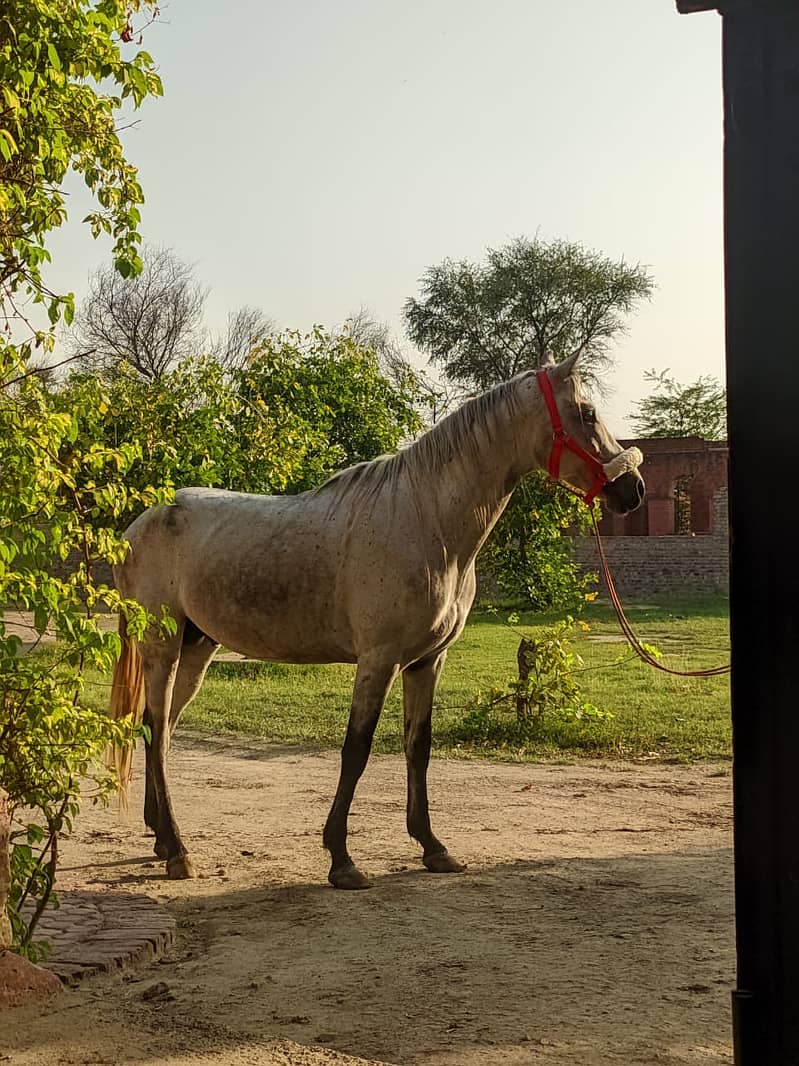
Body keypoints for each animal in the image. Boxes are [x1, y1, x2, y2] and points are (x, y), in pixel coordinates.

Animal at [110, 351, 645, 888]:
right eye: (587, 413)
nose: (633, 489)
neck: (426, 519)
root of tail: (135, 528)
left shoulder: (427, 661)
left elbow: (418, 747)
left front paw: (433, 847)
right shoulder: (378, 660)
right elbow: (357, 749)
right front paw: (341, 859)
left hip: (197, 647)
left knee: (160, 730)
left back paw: (161, 838)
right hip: (161, 646)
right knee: (155, 730)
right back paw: (178, 850)